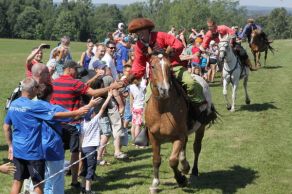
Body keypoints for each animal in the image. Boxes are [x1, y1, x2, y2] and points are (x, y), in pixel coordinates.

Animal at [145, 50, 206, 193]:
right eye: (152, 66)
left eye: (169, 67)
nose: (164, 90)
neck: (162, 109)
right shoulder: (153, 136)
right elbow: (156, 159)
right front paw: (155, 184)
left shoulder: (178, 136)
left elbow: (173, 160)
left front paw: (181, 179)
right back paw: (185, 166)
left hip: (201, 127)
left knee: (196, 147)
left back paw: (193, 171)